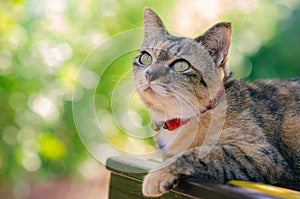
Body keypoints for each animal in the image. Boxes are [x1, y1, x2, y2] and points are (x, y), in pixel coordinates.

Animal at [134, 7, 300, 196]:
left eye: (181, 65)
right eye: (145, 58)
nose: (149, 74)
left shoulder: (261, 155)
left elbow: (201, 152)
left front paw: (159, 174)